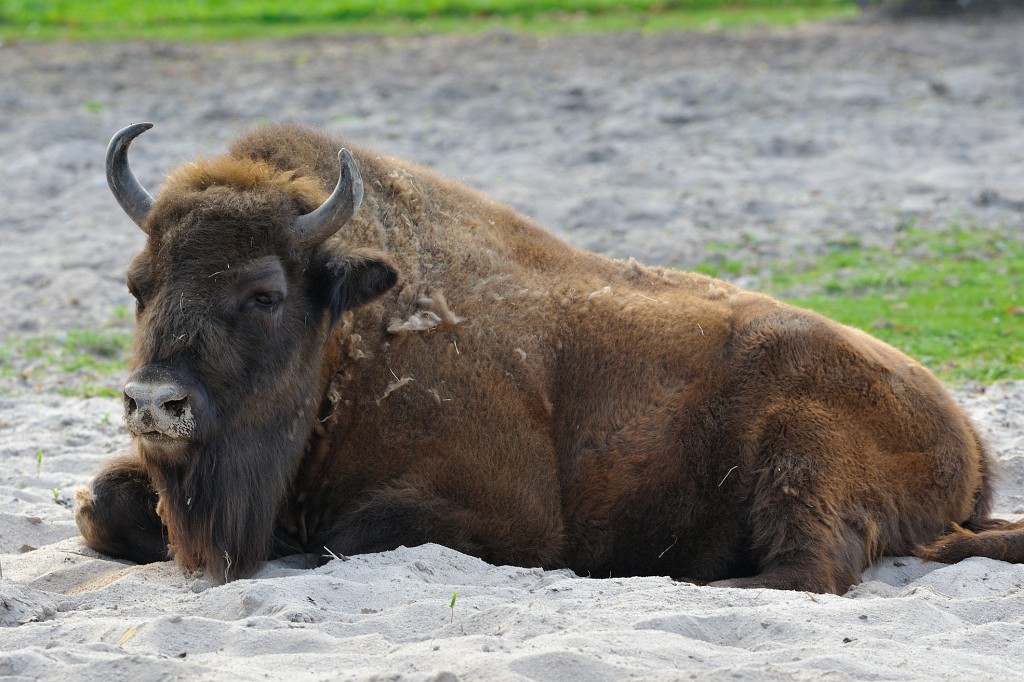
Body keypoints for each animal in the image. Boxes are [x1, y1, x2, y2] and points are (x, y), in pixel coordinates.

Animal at [77, 122, 1024, 589]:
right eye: (137, 284)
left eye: (266, 293)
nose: (154, 402)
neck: (354, 340)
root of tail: (968, 436)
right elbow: (95, 507)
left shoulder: (507, 516)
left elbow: (348, 537)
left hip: (802, 452)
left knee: (810, 568)